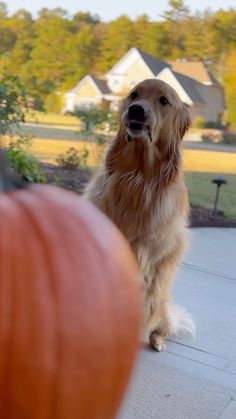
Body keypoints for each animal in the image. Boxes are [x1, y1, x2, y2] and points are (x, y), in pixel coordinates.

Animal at [85, 79, 195, 352]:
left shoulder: (144, 255)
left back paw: (157, 340)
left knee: (161, 324)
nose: (135, 110)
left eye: (164, 101)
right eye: (134, 95)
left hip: (161, 300)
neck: (137, 178)